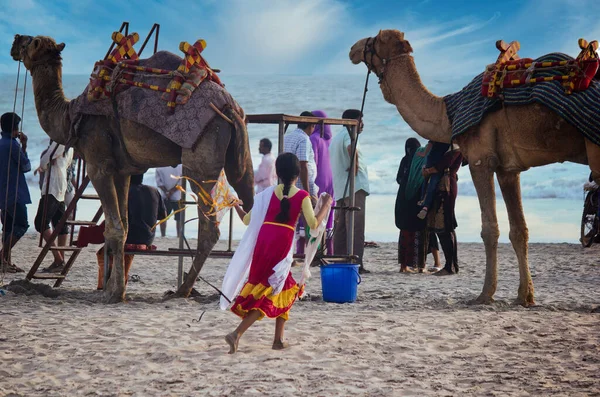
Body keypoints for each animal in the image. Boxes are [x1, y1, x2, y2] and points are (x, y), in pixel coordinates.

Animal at [9, 35, 253, 304]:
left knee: (210, 227)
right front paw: (117, 288)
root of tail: (231, 108)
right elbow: (123, 228)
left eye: (33, 42)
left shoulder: (98, 165)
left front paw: (113, 293)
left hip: (201, 162)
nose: (15, 41)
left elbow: (114, 228)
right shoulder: (122, 171)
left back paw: (183, 290)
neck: (71, 116)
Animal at [350, 29, 596, 306]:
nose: (353, 48)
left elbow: (490, 229)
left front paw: (485, 294)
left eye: (377, 38)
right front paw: (525, 296)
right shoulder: (509, 169)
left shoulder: (481, 160)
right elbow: (519, 230)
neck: (449, 112)